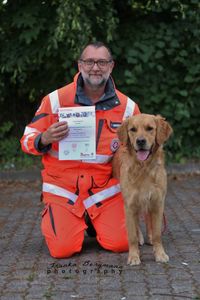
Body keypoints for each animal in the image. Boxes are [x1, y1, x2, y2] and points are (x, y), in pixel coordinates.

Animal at [113, 113, 173, 264]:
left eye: (150, 128)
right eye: (133, 129)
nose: (140, 141)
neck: (144, 168)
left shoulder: (157, 202)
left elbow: (157, 234)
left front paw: (160, 254)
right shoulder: (129, 205)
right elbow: (132, 236)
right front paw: (134, 256)